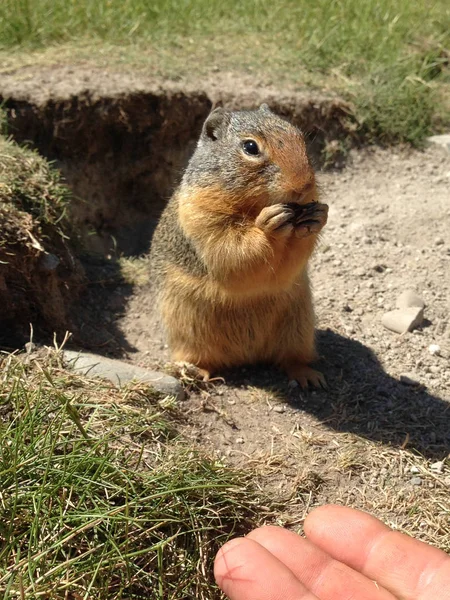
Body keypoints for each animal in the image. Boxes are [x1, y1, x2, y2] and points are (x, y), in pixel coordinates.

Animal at [149, 105, 328, 386]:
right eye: (250, 147)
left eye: (300, 136)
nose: (303, 185)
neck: (254, 206)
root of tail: (246, 357)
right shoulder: (204, 219)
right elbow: (234, 253)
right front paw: (268, 224)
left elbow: (289, 265)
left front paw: (318, 217)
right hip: (188, 334)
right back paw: (196, 372)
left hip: (299, 331)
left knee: (290, 359)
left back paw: (308, 376)